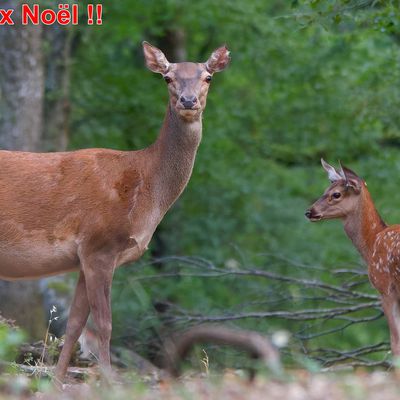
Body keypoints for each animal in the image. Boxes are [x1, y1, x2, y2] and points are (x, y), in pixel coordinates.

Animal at [0, 41, 230, 384]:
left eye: (208, 77)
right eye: (167, 77)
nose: (188, 101)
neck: (146, 191)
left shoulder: (84, 256)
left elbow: (75, 324)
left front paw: (57, 381)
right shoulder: (100, 244)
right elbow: (104, 325)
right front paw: (110, 381)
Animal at [304, 161, 400, 358]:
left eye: (336, 194)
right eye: (325, 189)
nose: (309, 212)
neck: (371, 243)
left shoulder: (385, 287)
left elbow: (395, 345)